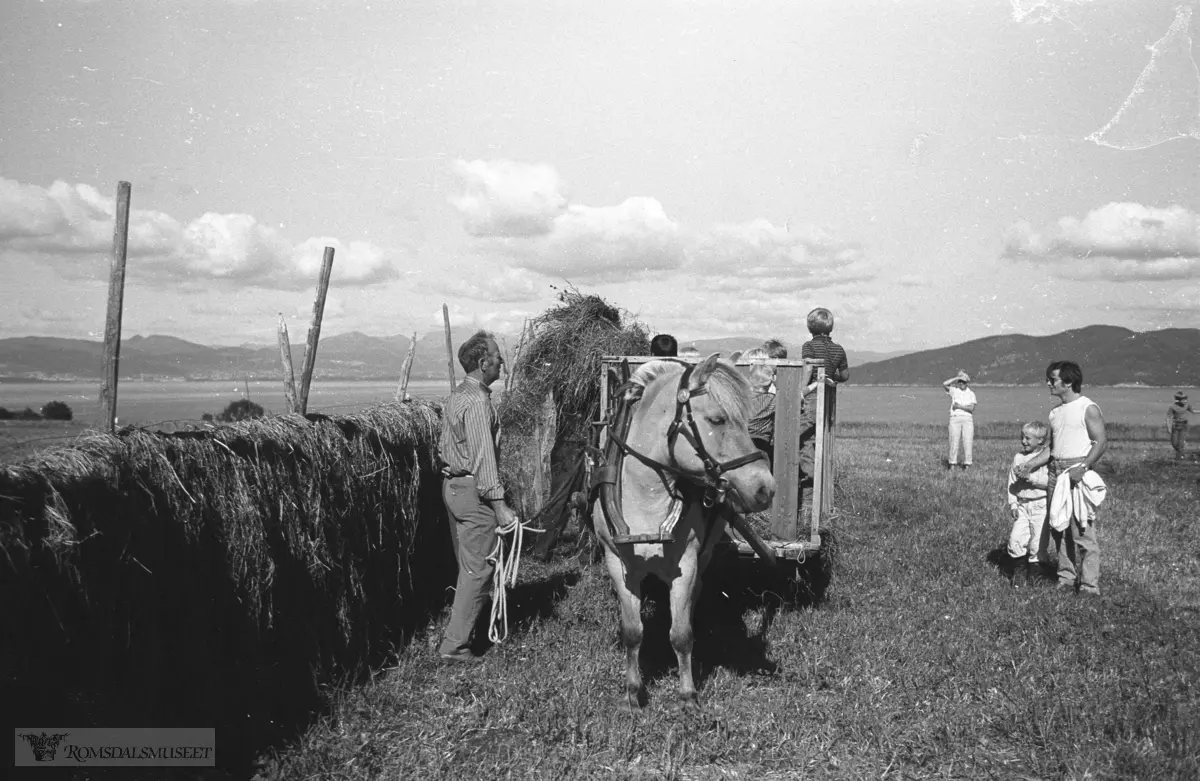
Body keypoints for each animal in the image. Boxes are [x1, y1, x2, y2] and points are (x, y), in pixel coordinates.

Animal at [592, 355, 777, 710]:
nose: (766, 488)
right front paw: (634, 691)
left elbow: (681, 634)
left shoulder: (686, 564)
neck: (646, 495)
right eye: (717, 419)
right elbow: (632, 631)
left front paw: (688, 695)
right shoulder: (618, 564)